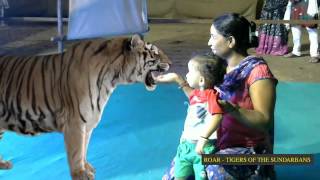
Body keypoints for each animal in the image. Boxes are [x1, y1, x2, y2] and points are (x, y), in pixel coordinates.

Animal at [0, 34, 171, 179]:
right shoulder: (74, 122)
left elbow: (84, 148)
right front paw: (80, 174)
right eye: (155, 53)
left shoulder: (88, 122)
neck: (112, 78)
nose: (170, 63)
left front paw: (87, 168)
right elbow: (76, 151)